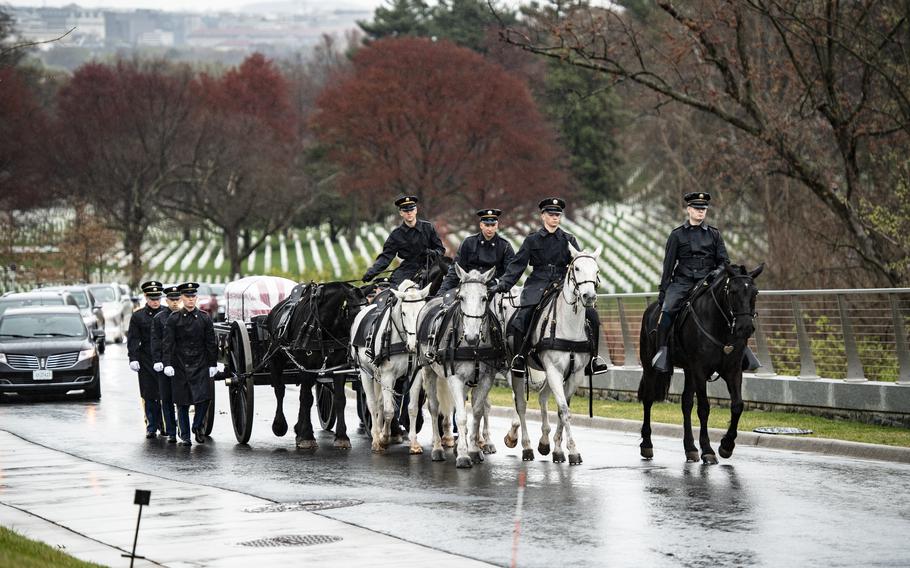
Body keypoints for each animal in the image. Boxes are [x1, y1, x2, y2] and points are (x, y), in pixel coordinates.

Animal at [266, 282, 366, 450]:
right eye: (355, 313)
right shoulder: (307, 367)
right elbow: (307, 399)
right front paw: (306, 436)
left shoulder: (339, 367)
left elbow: (340, 399)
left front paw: (342, 436)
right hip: (276, 359)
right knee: (280, 390)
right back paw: (280, 425)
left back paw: (298, 429)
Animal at [350, 280, 432, 452]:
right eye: (404, 313)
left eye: (421, 311)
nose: (414, 345)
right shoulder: (388, 375)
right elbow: (389, 411)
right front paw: (384, 438)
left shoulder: (415, 375)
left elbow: (412, 408)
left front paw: (414, 443)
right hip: (366, 373)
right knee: (373, 405)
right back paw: (376, 437)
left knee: (380, 403)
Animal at [418, 266, 502, 466]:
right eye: (461, 297)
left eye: (484, 298)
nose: (471, 337)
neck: (473, 348)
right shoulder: (455, 378)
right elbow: (462, 416)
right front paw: (464, 455)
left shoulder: (486, 379)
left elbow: (477, 413)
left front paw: (473, 450)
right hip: (428, 370)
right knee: (434, 408)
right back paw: (438, 449)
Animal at [502, 246, 604, 464]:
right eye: (576, 268)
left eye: (597, 270)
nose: (589, 296)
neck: (569, 325)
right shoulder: (554, 371)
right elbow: (564, 410)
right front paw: (573, 451)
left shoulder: (574, 374)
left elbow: (561, 409)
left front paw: (558, 449)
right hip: (517, 369)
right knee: (521, 404)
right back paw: (526, 446)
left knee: (541, 397)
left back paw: (543, 442)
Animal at [640, 264, 764, 464]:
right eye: (733, 291)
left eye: (755, 292)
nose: (745, 327)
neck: (720, 325)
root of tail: (651, 310)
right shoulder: (700, 370)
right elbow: (704, 408)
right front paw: (708, 449)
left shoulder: (733, 370)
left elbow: (737, 405)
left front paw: (726, 445)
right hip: (650, 367)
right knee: (648, 399)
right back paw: (647, 445)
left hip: (689, 371)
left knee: (686, 403)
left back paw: (690, 448)